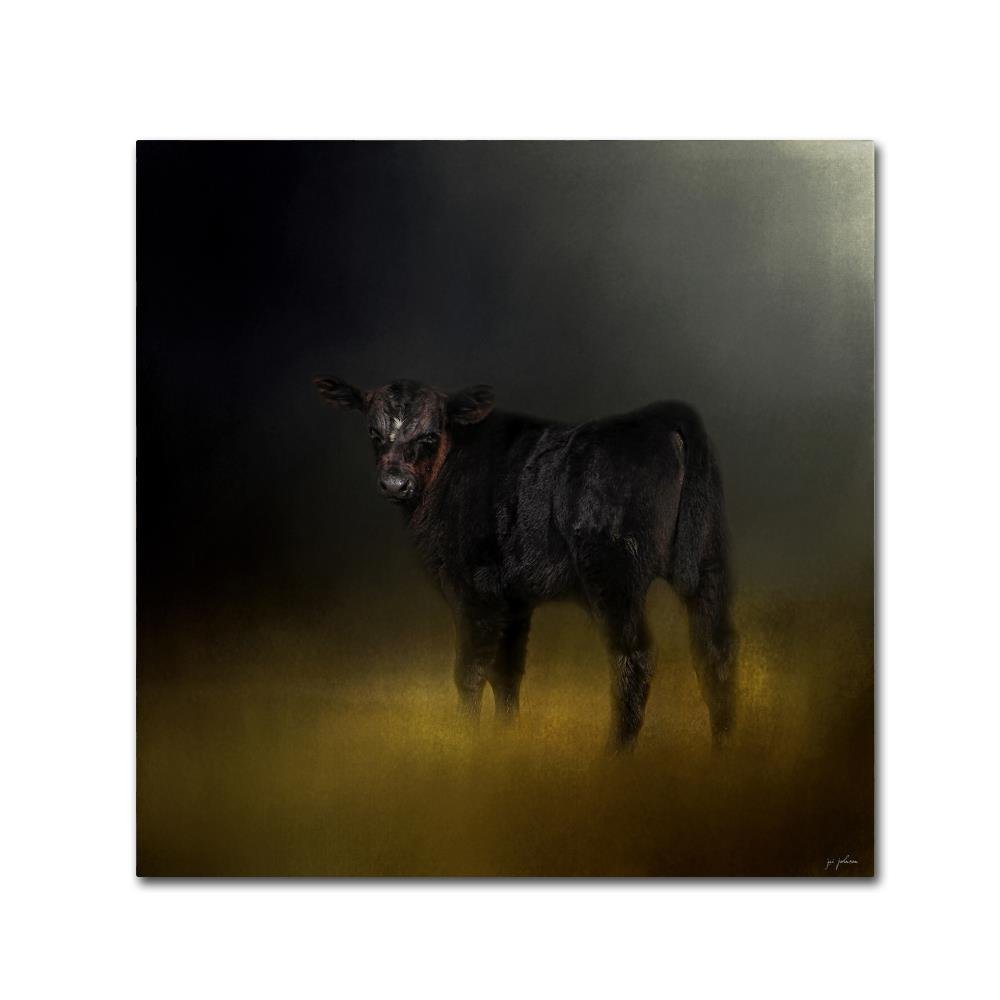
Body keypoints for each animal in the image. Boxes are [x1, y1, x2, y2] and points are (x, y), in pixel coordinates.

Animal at [314, 377, 737, 751]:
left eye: (430, 436)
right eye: (374, 432)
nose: (394, 483)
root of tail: (655, 416)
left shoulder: (474, 589)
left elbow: (470, 671)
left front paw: (465, 740)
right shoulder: (514, 598)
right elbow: (507, 670)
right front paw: (506, 739)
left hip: (612, 573)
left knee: (636, 655)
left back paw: (616, 755)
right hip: (709, 561)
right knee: (716, 649)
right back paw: (724, 752)